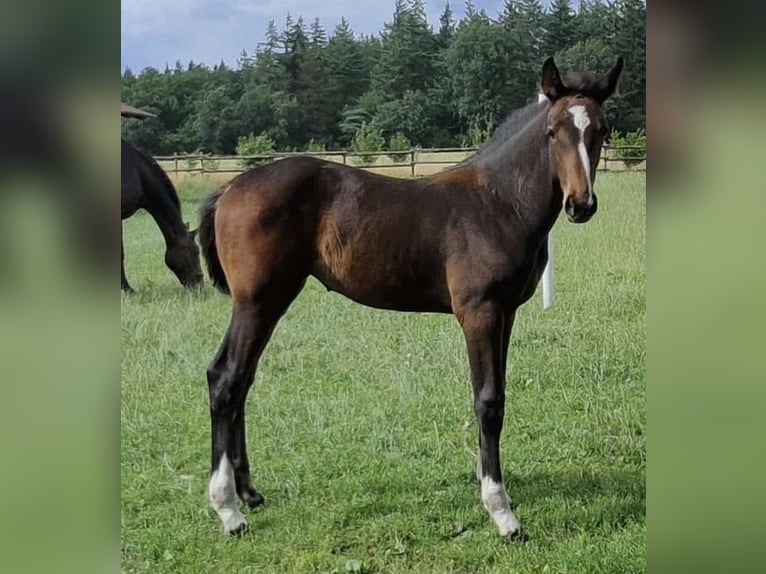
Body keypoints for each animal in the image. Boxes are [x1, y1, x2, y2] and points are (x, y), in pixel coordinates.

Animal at [198, 58, 624, 540]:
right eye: (552, 131)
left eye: (602, 130)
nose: (580, 205)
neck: (499, 203)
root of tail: (229, 190)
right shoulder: (478, 312)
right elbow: (488, 401)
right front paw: (501, 512)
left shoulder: (507, 313)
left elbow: (498, 394)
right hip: (256, 301)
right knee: (225, 378)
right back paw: (229, 510)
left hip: (270, 302)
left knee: (243, 380)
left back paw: (249, 492)